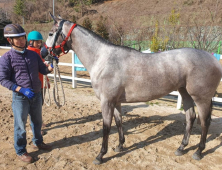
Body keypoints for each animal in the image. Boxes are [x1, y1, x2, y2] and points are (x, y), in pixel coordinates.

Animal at [45, 14, 222, 165]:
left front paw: (101, 155)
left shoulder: (106, 102)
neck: (103, 59)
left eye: (51, 33)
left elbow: (106, 127)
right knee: (190, 117)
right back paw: (181, 147)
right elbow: (119, 122)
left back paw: (198, 152)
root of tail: (213, 59)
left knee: (204, 122)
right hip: (185, 93)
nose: (44, 53)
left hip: (201, 98)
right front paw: (120, 146)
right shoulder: (115, 102)